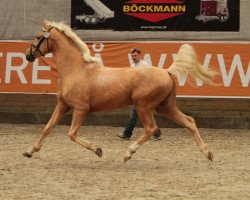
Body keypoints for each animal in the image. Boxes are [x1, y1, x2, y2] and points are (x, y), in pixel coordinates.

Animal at [24, 19, 217, 161]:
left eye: (38, 37)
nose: (28, 55)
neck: (77, 70)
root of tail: (166, 71)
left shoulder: (80, 109)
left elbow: (71, 134)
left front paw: (98, 149)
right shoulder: (63, 105)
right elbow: (47, 128)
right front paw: (30, 151)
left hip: (143, 106)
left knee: (151, 129)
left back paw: (128, 153)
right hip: (165, 107)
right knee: (189, 121)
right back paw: (207, 153)